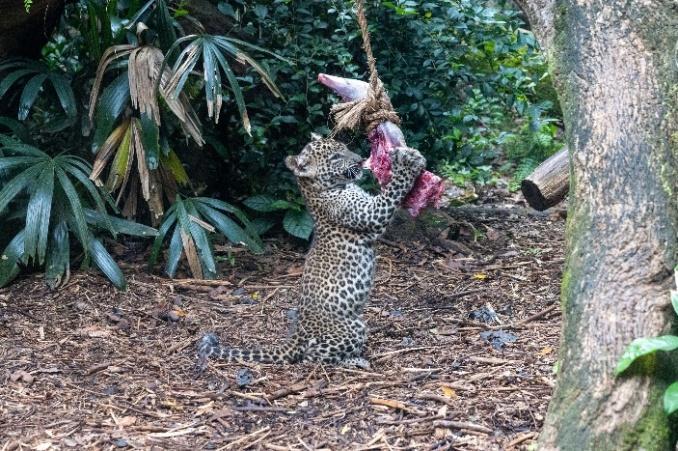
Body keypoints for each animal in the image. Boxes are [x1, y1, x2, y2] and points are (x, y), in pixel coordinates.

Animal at [197, 134, 425, 367]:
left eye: (345, 148)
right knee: (312, 358)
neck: (320, 191)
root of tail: (297, 335)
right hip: (353, 327)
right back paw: (354, 361)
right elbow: (392, 191)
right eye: (335, 157)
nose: (361, 160)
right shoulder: (371, 213)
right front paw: (407, 163)